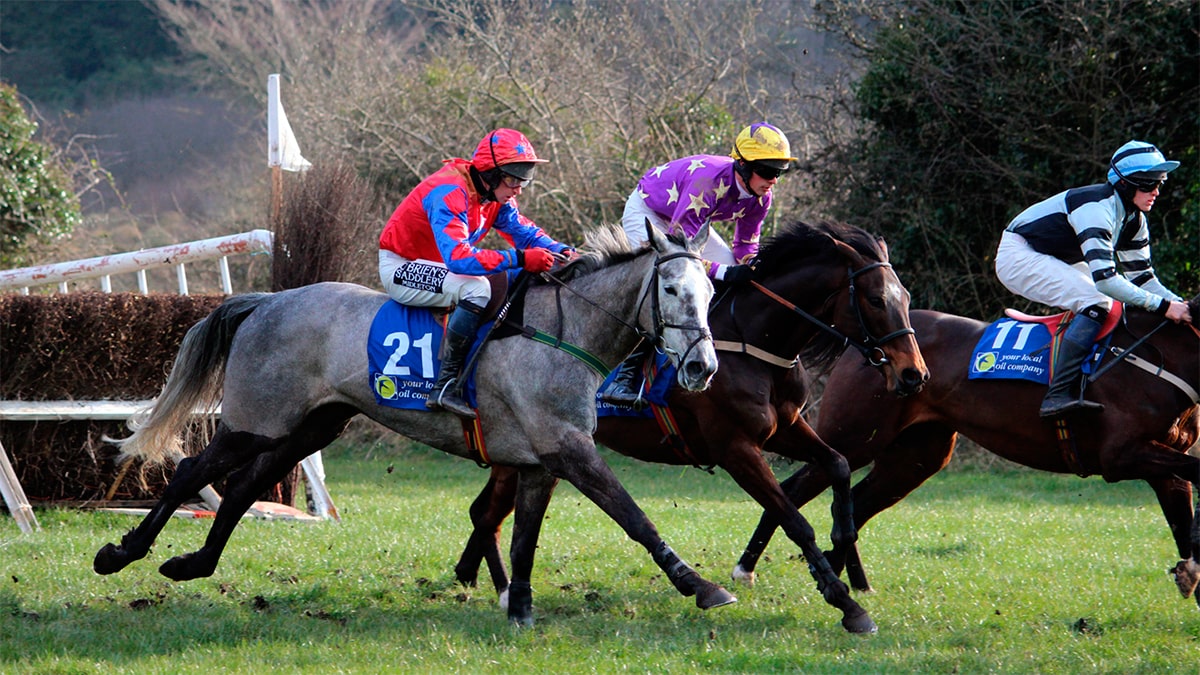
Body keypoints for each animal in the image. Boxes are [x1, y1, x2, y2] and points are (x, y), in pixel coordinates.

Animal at [91, 223, 729, 624]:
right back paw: (121, 554)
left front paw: (519, 607)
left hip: (311, 426)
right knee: (192, 471)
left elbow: (524, 538)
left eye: (710, 292)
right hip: (256, 421)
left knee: (245, 486)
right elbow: (634, 516)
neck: (562, 334)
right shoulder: (569, 449)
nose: (702, 367)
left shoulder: (539, 460)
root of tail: (268, 301)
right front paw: (700, 585)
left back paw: (193, 564)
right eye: (671, 288)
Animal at [451, 216, 926, 629]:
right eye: (876, 300)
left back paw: (483, 581)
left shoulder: (785, 428)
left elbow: (838, 464)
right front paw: (843, 601)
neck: (752, 344)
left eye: (904, 298)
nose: (913, 374)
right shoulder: (735, 448)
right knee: (487, 512)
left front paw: (844, 547)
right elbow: (793, 518)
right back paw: (499, 589)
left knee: (485, 511)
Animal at [729, 295, 1200, 605]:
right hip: (857, 435)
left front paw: (1188, 571)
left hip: (916, 455)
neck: (1161, 357)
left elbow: (1183, 506)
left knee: (854, 502)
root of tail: (870, 346)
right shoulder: (1121, 455)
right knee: (798, 487)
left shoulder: (1159, 462)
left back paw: (852, 580)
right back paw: (750, 569)